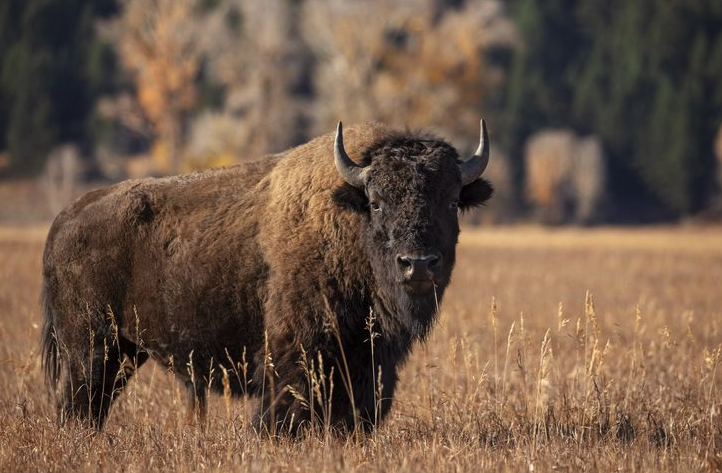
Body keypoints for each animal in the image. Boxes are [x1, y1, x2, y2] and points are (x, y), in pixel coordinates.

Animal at [39, 120, 490, 434]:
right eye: (377, 203)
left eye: (452, 202)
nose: (418, 264)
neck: (347, 220)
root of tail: (65, 217)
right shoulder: (295, 356)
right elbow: (284, 413)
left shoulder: (368, 364)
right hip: (91, 349)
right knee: (78, 406)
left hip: (124, 352)